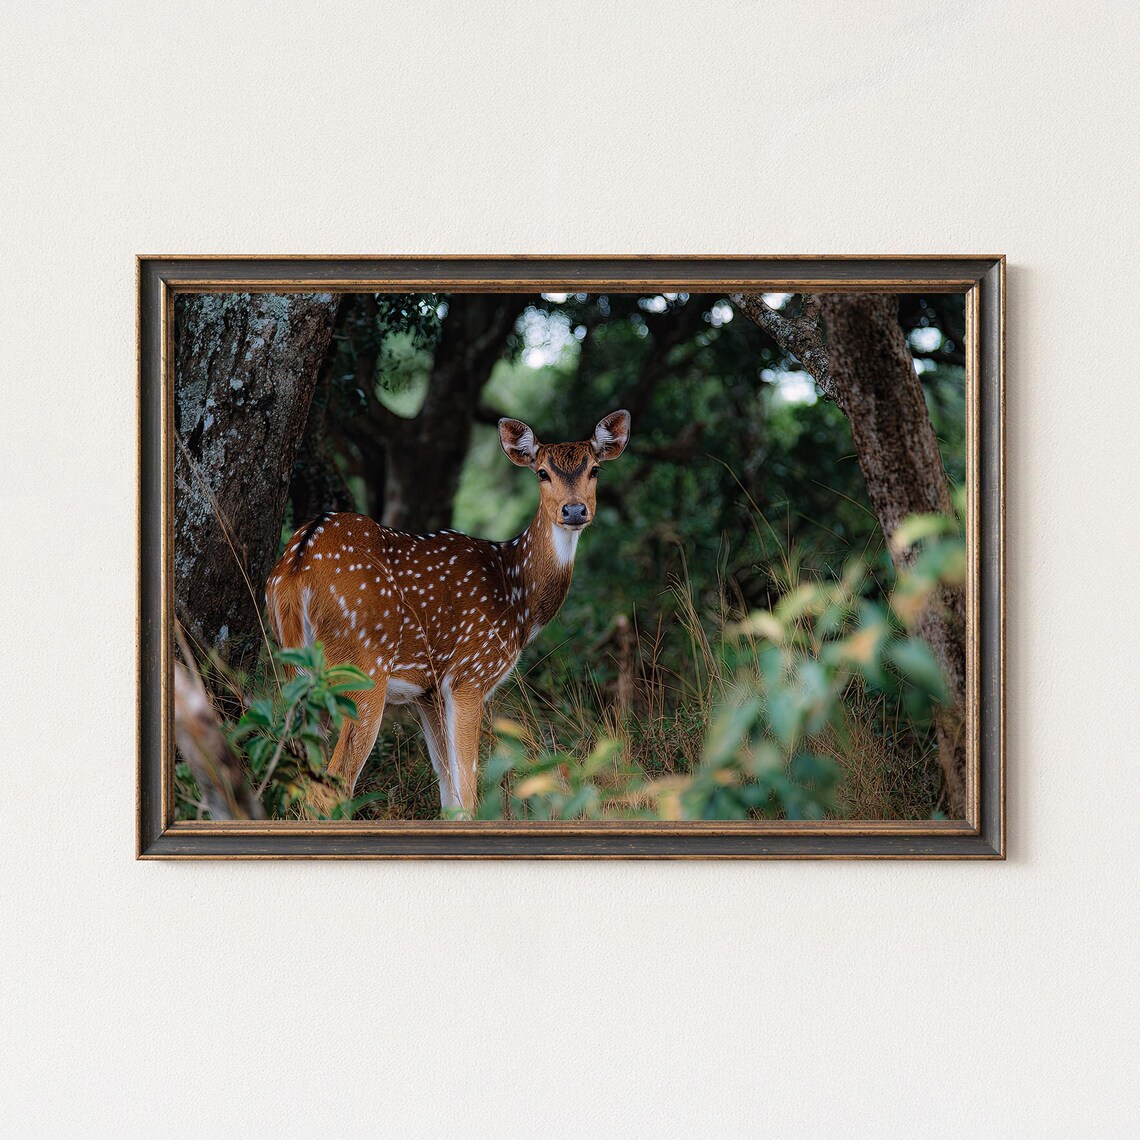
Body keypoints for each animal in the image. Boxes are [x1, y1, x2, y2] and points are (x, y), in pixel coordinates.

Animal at [266, 410, 631, 816]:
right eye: (542, 472)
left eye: (595, 469)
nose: (574, 510)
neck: (516, 596)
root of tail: (297, 567)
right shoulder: (470, 674)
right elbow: (468, 792)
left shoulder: (429, 693)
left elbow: (450, 794)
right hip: (361, 665)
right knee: (331, 787)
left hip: (294, 670)